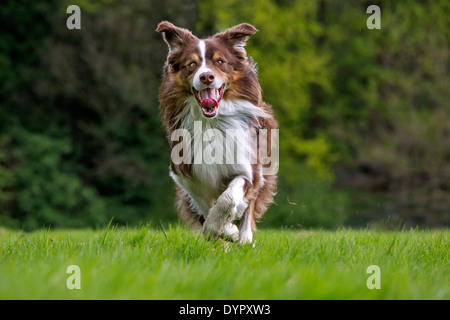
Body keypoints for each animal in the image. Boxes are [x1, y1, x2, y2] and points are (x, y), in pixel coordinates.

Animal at [156, 21, 280, 242]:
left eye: (220, 61)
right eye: (191, 64)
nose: (206, 76)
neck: (211, 123)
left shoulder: (248, 168)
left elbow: (230, 198)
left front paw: (226, 228)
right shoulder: (185, 173)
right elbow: (204, 205)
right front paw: (224, 229)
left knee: (250, 207)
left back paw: (245, 238)